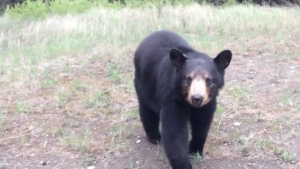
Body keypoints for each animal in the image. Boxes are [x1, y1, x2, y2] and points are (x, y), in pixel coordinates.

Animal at [133, 30, 232, 169]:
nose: (197, 98)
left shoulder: (208, 102)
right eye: (188, 78)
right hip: (143, 83)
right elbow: (175, 132)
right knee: (147, 108)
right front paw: (184, 164)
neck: (188, 101)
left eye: (208, 80)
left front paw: (196, 151)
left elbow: (202, 124)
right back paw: (154, 137)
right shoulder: (172, 98)